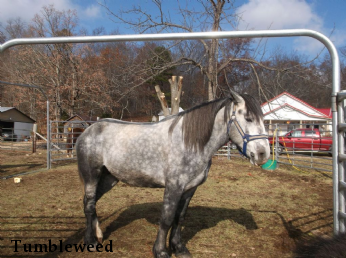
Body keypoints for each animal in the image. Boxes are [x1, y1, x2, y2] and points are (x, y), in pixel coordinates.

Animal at [76, 91, 270, 256]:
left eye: (263, 119)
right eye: (248, 118)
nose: (263, 154)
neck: (189, 142)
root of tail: (88, 131)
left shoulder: (189, 189)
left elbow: (179, 218)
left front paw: (179, 248)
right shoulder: (174, 187)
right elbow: (167, 218)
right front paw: (161, 251)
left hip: (109, 178)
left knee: (91, 202)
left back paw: (99, 235)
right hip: (92, 176)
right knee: (89, 205)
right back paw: (90, 241)